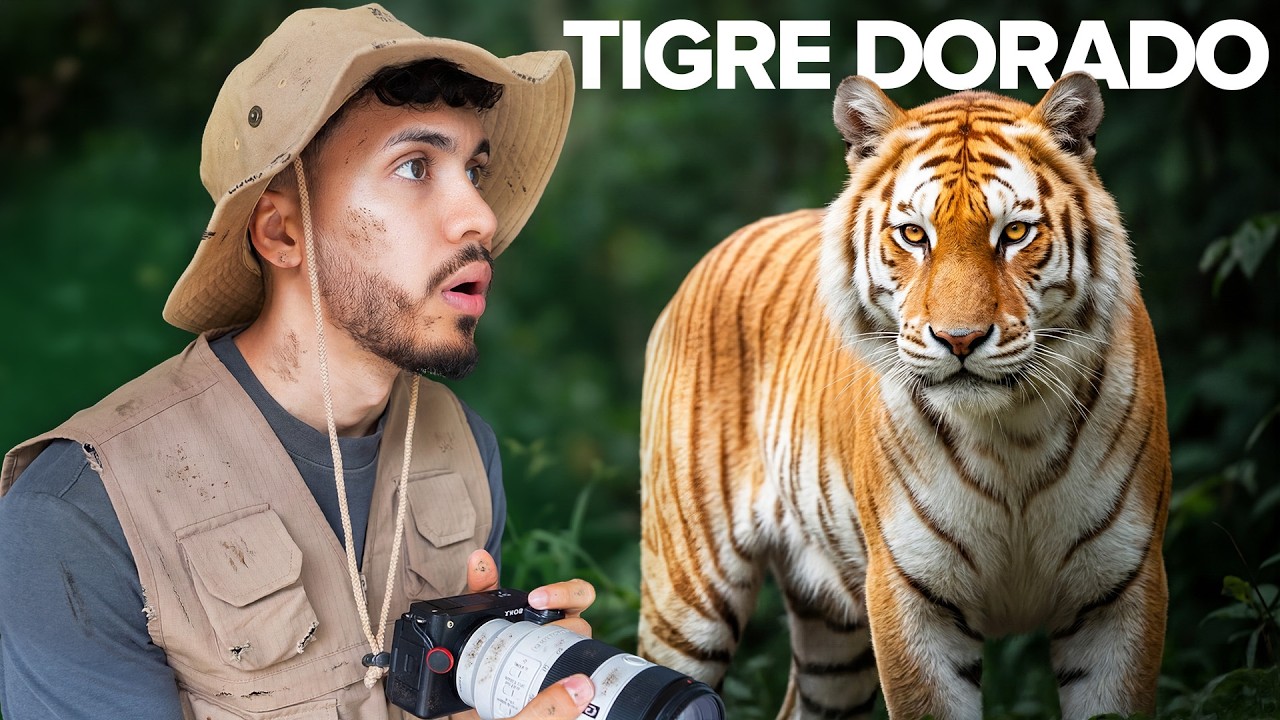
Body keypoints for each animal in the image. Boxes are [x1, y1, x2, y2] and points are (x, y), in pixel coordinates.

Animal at [636, 72, 1171, 720]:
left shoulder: (1122, 589)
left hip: (833, 644)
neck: (1012, 435)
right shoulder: (909, 592)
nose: (959, 338)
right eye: (915, 234)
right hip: (689, 591)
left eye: (1015, 232)